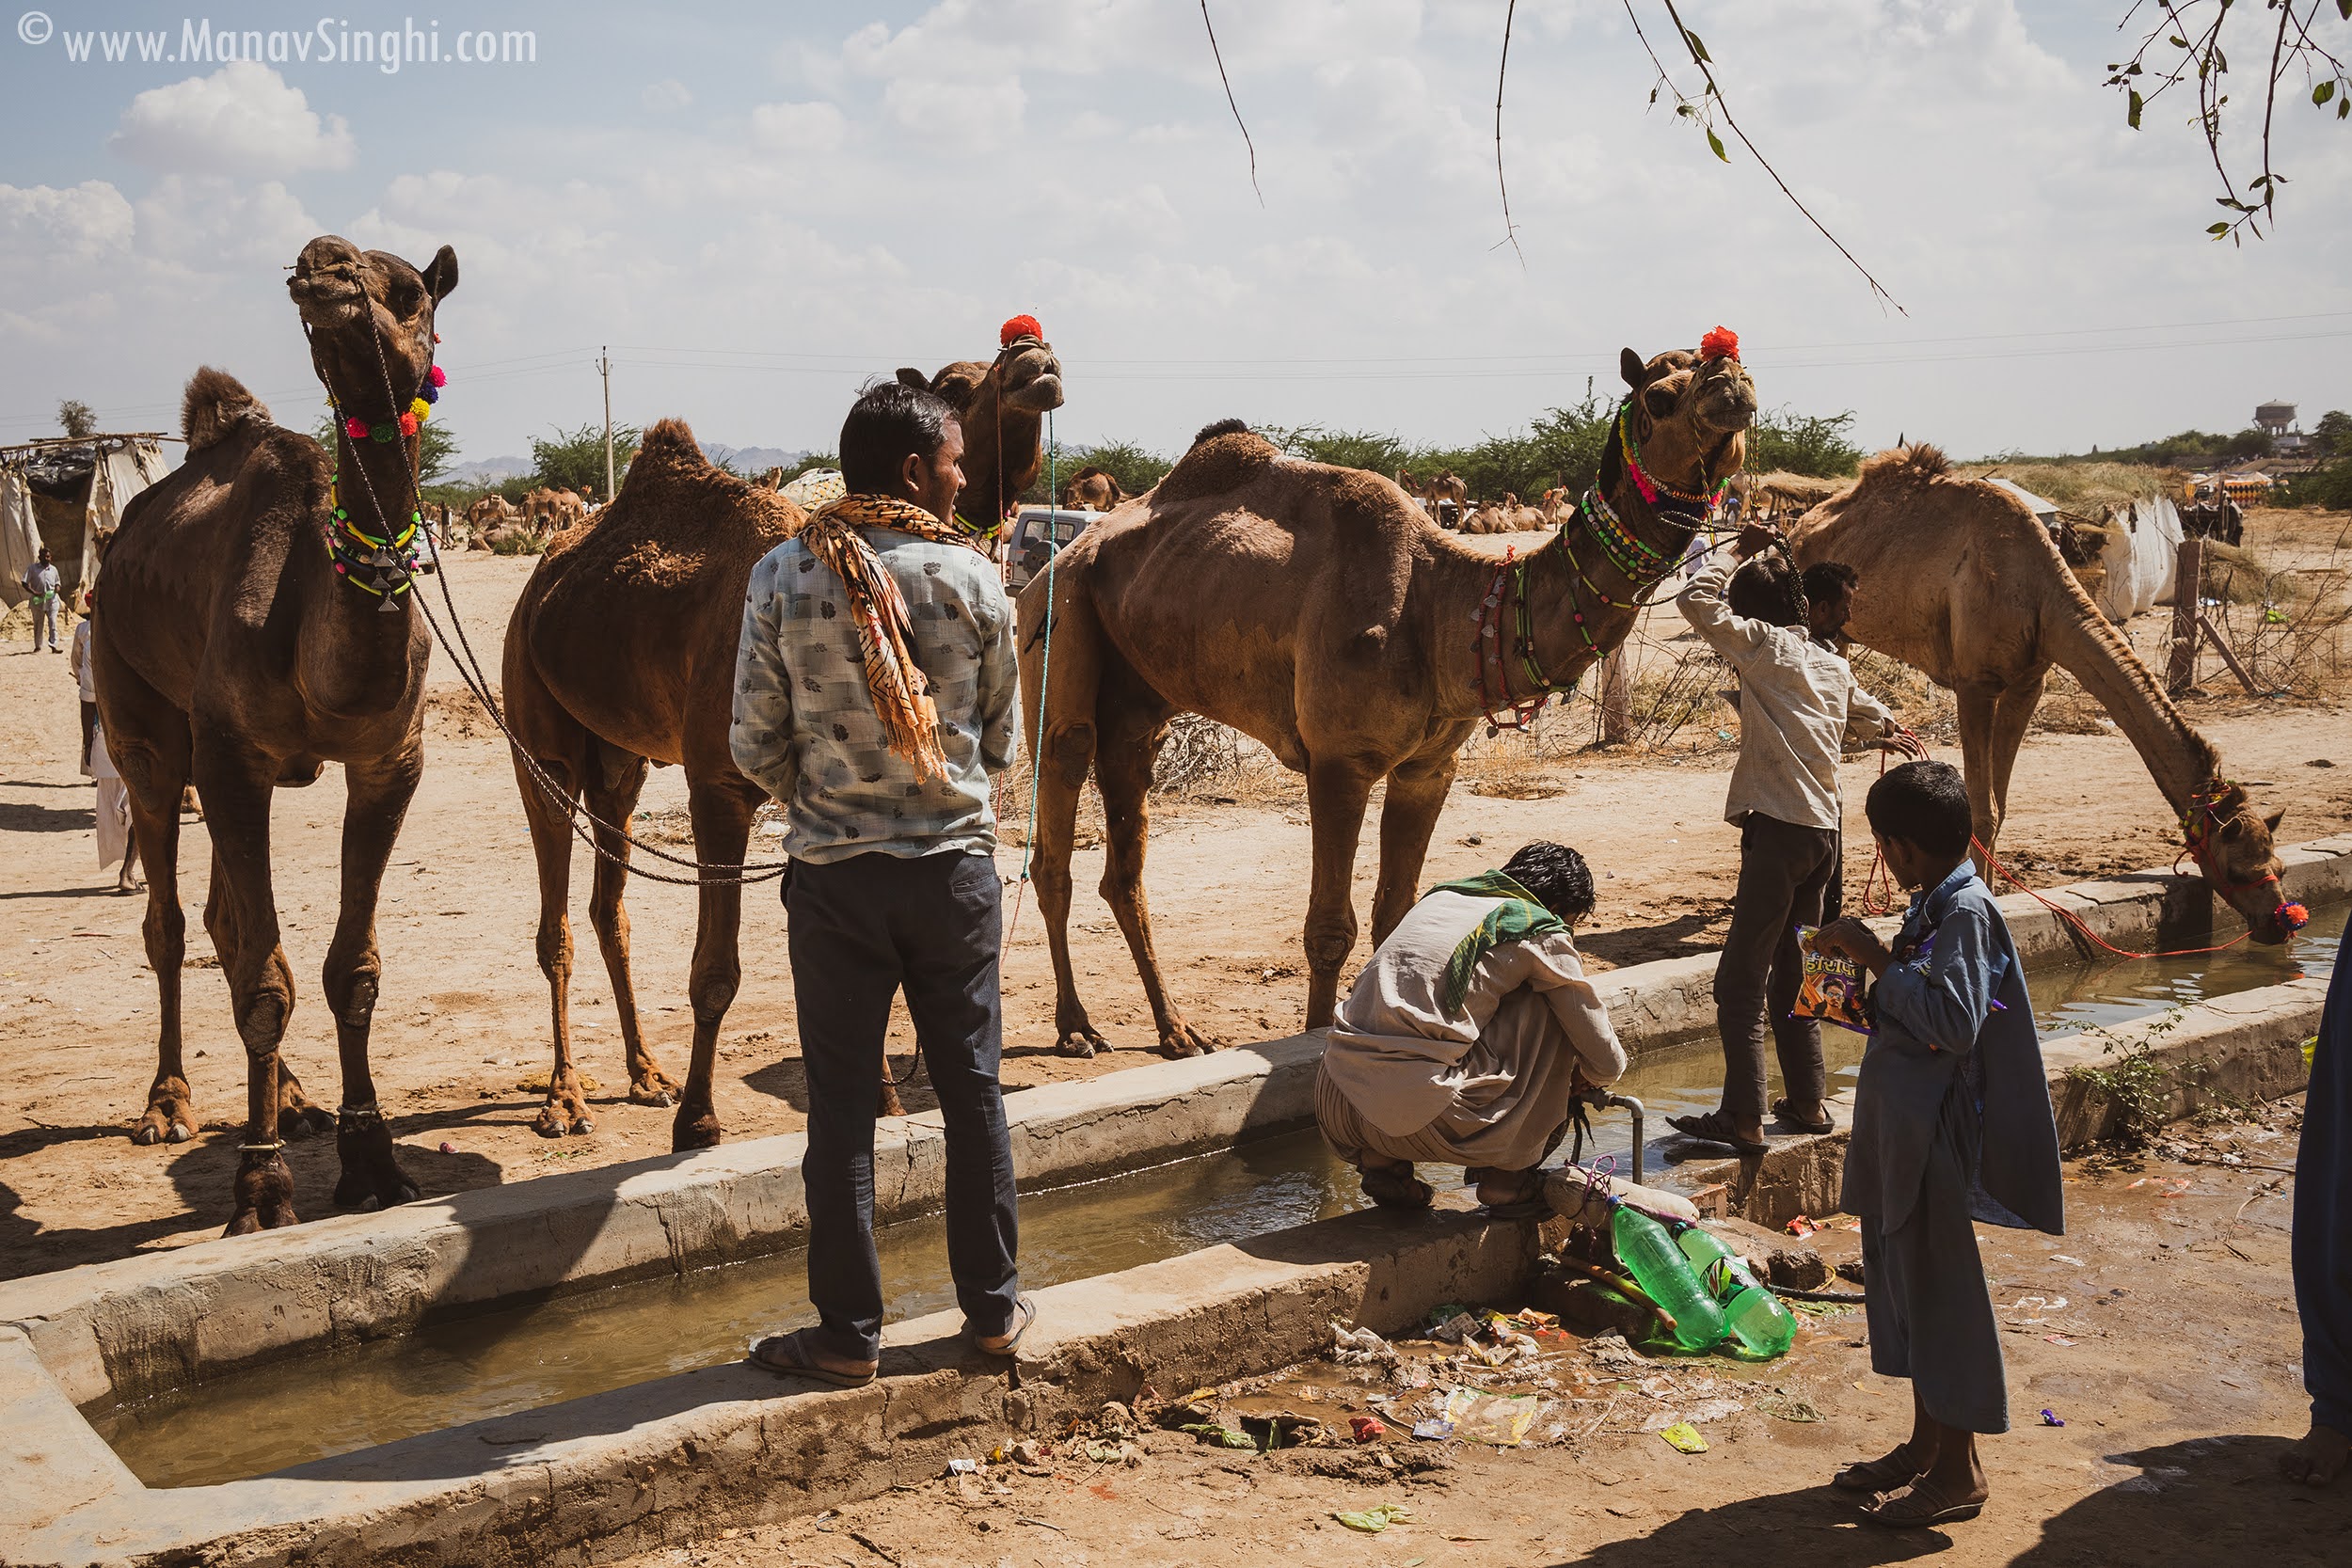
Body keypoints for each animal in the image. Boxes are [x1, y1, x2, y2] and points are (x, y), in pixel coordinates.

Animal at [94, 236, 458, 1241]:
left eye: (408, 292)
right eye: (331, 263)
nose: (322, 265)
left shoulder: (389, 762)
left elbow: (349, 969)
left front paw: (371, 1164)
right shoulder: (229, 760)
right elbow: (266, 979)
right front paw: (260, 1188)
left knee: (226, 922)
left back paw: (294, 1100)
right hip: (144, 726)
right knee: (172, 922)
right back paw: (168, 1103)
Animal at [510, 324, 1073, 1147]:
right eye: (956, 386)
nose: (1037, 360)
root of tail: (542, 580)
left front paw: (882, 1099)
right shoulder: (718, 782)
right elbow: (716, 971)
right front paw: (699, 1121)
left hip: (619, 758)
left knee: (608, 904)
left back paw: (645, 1073)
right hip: (537, 728)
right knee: (555, 911)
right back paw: (564, 1098)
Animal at [1021, 341, 1759, 1053]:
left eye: (1738, 365)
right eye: (1660, 396)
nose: (1732, 387)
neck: (1446, 607)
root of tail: (1062, 555)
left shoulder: (1428, 767)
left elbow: (1396, 912)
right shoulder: (1339, 759)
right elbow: (1329, 928)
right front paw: (1316, 1041)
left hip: (1140, 702)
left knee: (1124, 857)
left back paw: (1177, 1031)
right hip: (1059, 617)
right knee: (1058, 812)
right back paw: (1077, 1027)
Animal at [1788, 446, 2286, 949]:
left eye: (2278, 866)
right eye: (2239, 871)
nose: (2282, 922)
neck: (2042, 598)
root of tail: (1801, 524)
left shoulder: (2028, 684)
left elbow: (2001, 804)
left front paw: (1988, 893)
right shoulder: (1975, 682)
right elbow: (1982, 809)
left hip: (1848, 629)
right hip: (1830, 621)